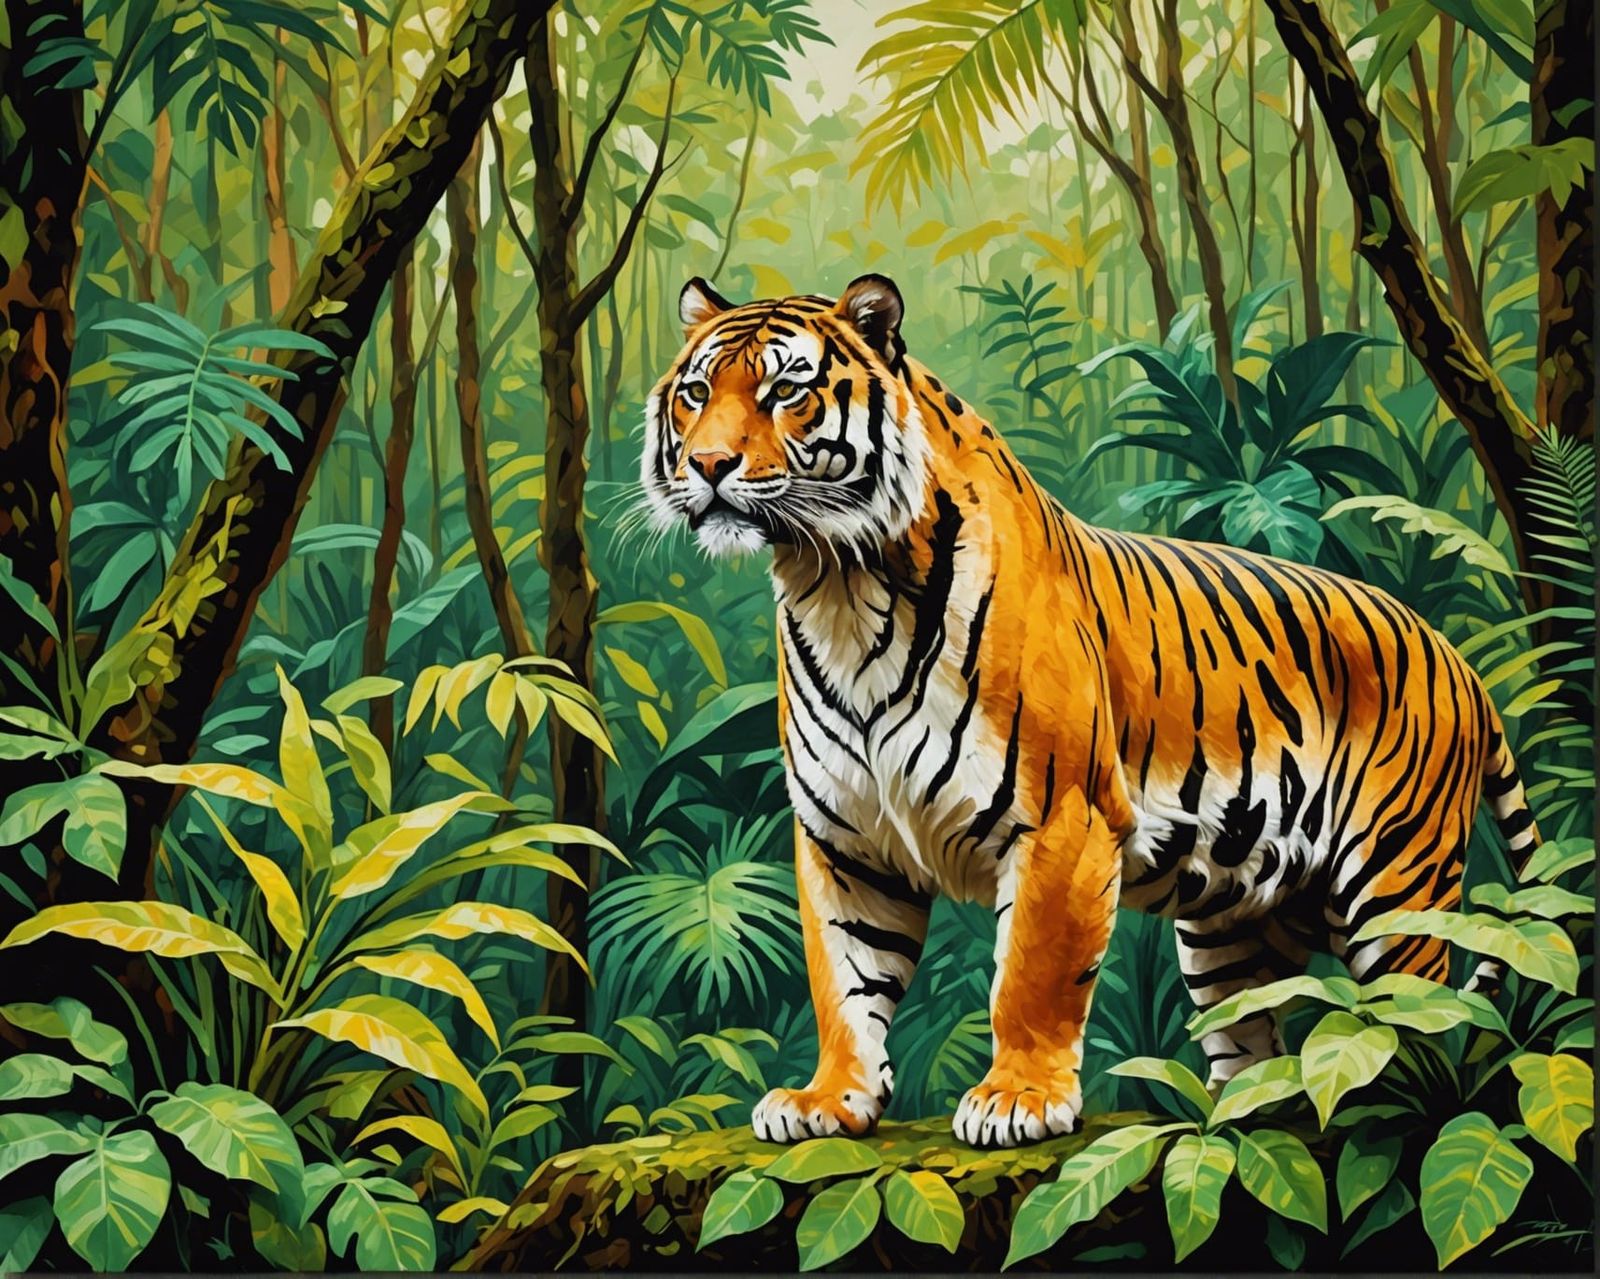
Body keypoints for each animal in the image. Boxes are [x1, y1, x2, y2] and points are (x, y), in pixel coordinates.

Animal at [639, 273, 1541, 1149]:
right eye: (696, 392)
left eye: (787, 390)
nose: (709, 464)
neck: (838, 585)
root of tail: (1459, 658)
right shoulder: (844, 838)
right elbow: (843, 977)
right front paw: (828, 1099)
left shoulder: (1060, 821)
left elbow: (1029, 977)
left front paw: (1018, 1100)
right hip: (1227, 923)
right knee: (1250, 1033)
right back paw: (1238, 1114)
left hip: (1397, 883)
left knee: (1419, 1015)